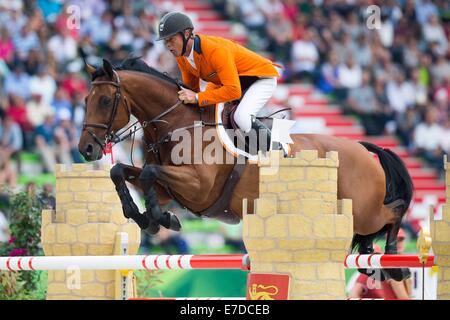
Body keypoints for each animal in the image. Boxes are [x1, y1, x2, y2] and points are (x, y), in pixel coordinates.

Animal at [78, 57, 414, 280]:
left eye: (105, 100)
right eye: (85, 100)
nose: (86, 149)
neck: (178, 124)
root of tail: (363, 148)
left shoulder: (198, 188)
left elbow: (147, 174)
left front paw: (161, 219)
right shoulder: (165, 190)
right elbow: (121, 172)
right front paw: (145, 217)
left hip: (365, 208)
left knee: (394, 211)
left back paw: (395, 264)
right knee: (370, 229)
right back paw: (369, 257)